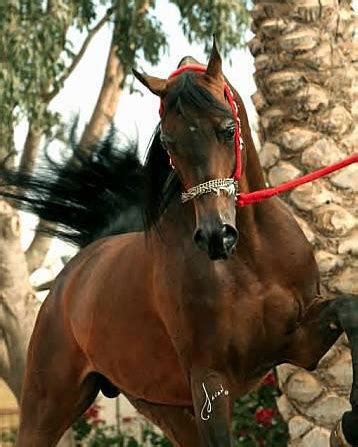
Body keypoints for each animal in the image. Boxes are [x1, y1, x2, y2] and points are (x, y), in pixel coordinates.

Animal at [2, 40, 358, 446]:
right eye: (169, 142)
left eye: (227, 129)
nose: (217, 235)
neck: (250, 261)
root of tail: (73, 276)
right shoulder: (210, 383)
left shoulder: (297, 345)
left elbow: (349, 308)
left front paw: (349, 420)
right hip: (48, 403)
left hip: (165, 408)